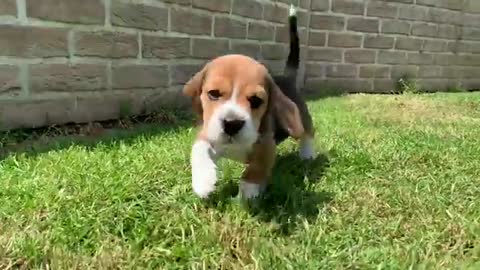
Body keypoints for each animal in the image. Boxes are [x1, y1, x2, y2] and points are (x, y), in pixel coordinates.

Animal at [183, 5, 316, 200]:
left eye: (256, 100)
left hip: (301, 120)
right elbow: (199, 149)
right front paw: (204, 182)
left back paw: (308, 155)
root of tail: (287, 77)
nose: (231, 124)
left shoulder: (266, 145)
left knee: (308, 134)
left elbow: (256, 168)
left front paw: (248, 192)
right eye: (213, 94)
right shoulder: (209, 133)